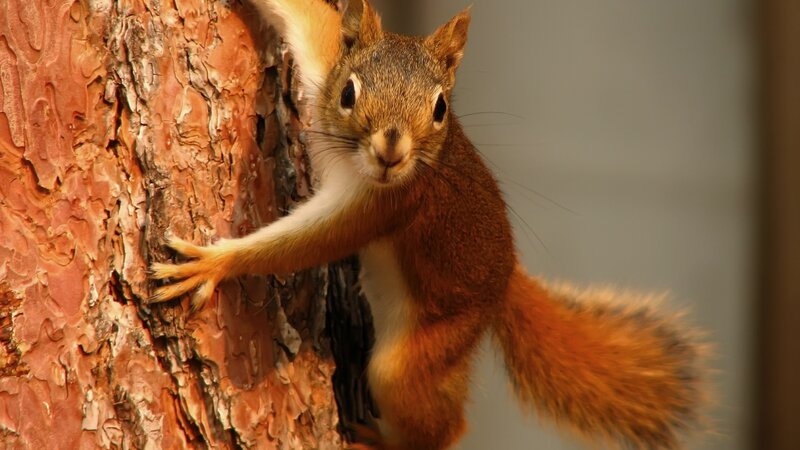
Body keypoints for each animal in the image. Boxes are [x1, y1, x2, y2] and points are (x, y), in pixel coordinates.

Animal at [150, 1, 706, 449]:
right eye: (348, 92)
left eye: (440, 107)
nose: (391, 151)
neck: (353, 161)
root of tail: (505, 281)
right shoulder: (323, 64)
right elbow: (310, 18)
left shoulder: (387, 205)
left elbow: (305, 244)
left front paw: (215, 263)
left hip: (426, 350)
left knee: (439, 425)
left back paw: (376, 441)